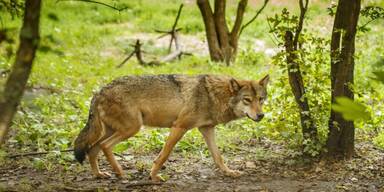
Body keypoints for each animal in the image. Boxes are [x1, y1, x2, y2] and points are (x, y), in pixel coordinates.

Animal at [73, 74, 270, 182]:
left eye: (261, 99)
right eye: (247, 100)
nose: (261, 116)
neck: (213, 95)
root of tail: (99, 92)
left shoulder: (207, 129)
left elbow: (218, 157)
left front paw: (229, 172)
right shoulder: (179, 126)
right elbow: (163, 156)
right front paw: (153, 177)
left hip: (114, 130)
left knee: (93, 149)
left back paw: (99, 175)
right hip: (132, 129)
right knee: (104, 146)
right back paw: (120, 173)